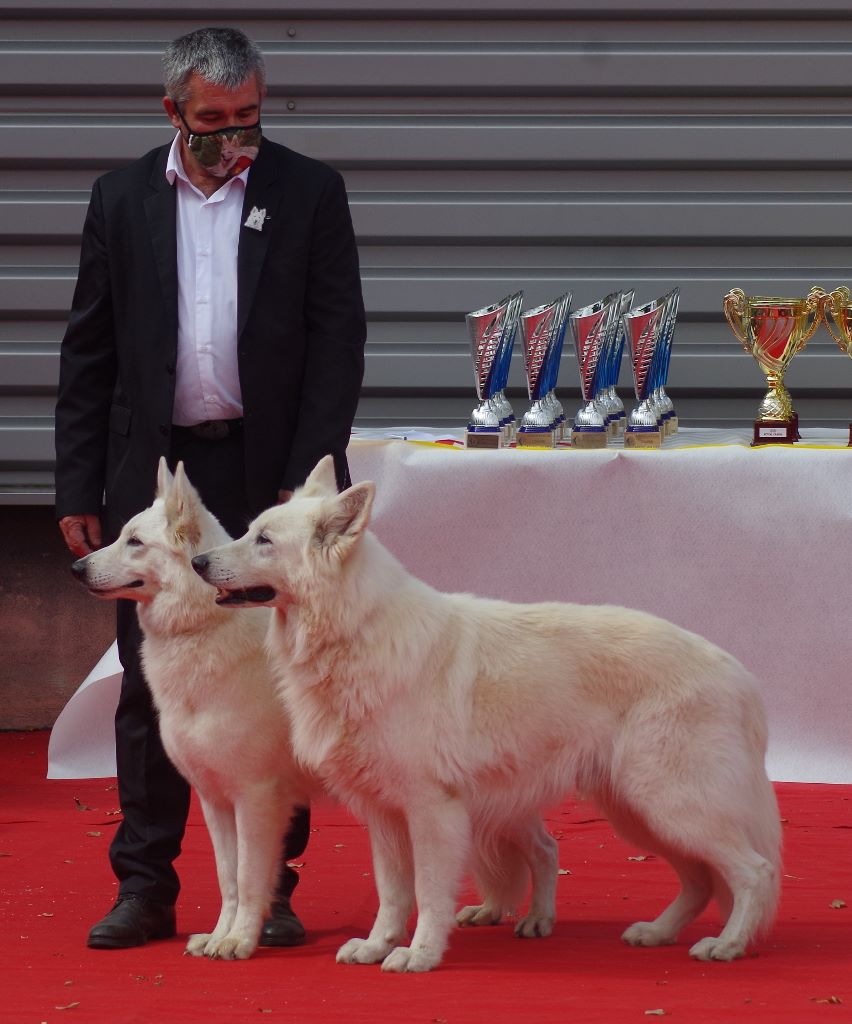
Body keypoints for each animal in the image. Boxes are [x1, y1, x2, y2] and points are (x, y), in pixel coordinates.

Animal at [69, 462, 309, 958]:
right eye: (118, 535)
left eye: (135, 542)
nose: (76, 567)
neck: (200, 627)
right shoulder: (215, 799)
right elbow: (228, 876)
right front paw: (221, 935)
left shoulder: (256, 797)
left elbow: (250, 876)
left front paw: (240, 941)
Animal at [196, 458, 782, 974]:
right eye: (248, 530)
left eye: (263, 540)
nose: (198, 562)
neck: (355, 630)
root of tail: (742, 677)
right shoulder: (384, 816)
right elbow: (392, 894)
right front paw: (376, 946)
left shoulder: (431, 811)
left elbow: (428, 893)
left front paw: (419, 955)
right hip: (640, 813)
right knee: (701, 880)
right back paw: (658, 933)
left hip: (670, 805)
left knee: (754, 872)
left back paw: (726, 945)